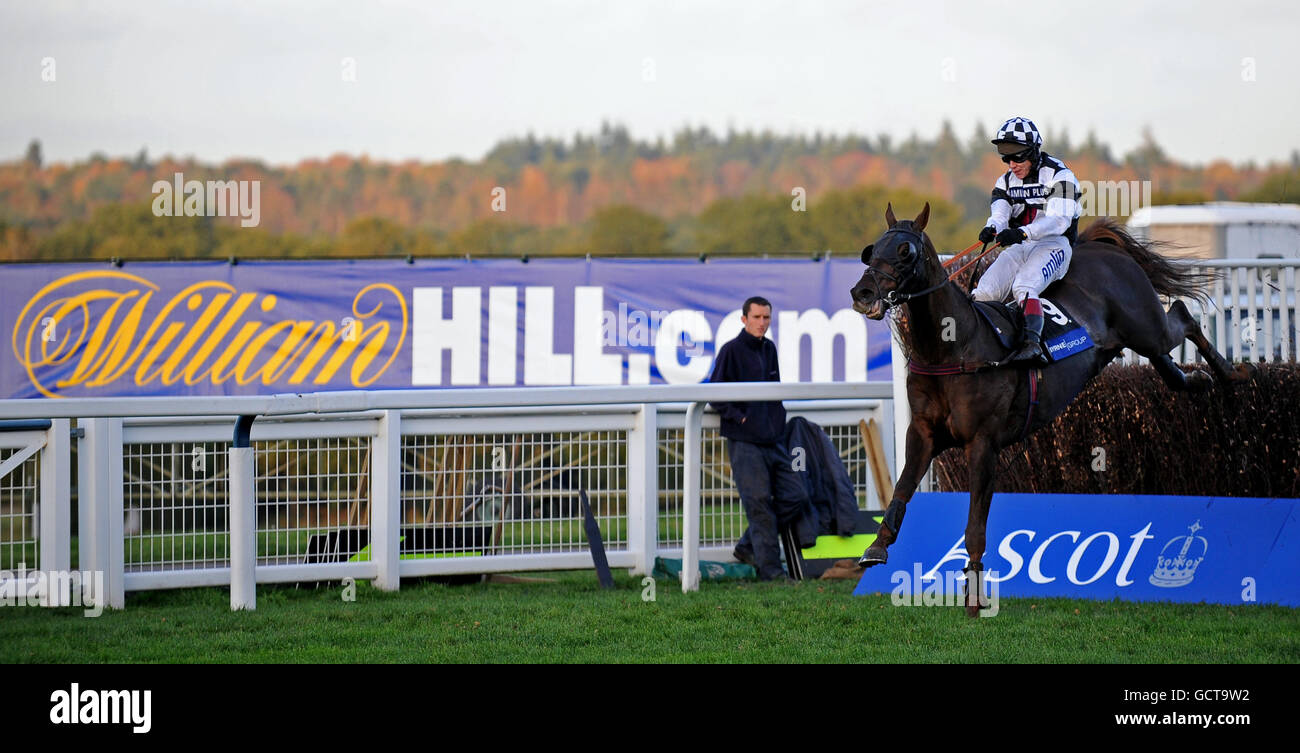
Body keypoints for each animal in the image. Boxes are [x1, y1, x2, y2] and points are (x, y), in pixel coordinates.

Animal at [847, 201, 1253, 619]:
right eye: (871, 249)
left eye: (905, 251)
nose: (862, 293)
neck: (953, 347)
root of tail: (1099, 248)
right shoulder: (924, 433)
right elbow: (901, 489)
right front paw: (876, 546)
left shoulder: (983, 442)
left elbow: (975, 525)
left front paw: (974, 598)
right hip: (1138, 342)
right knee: (1171, 371)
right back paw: (1201, 380)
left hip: (1147, 327)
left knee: (1184, 317)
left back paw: (1234, 372)